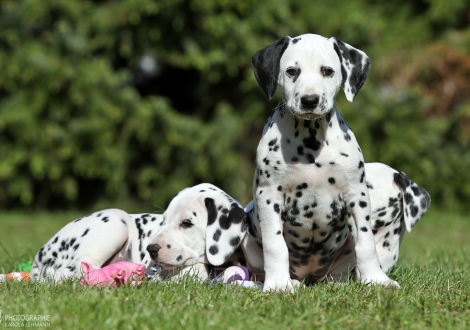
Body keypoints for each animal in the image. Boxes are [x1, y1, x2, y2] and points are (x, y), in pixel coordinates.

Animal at [250, 34, 408, 292]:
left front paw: (376, 279)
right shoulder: (269, 195)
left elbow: (366, 243)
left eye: (327, 71)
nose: (310, 100)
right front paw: (278, 284)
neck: (311, 141)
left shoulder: (356, 195)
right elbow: (275, 245)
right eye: (292, 71)